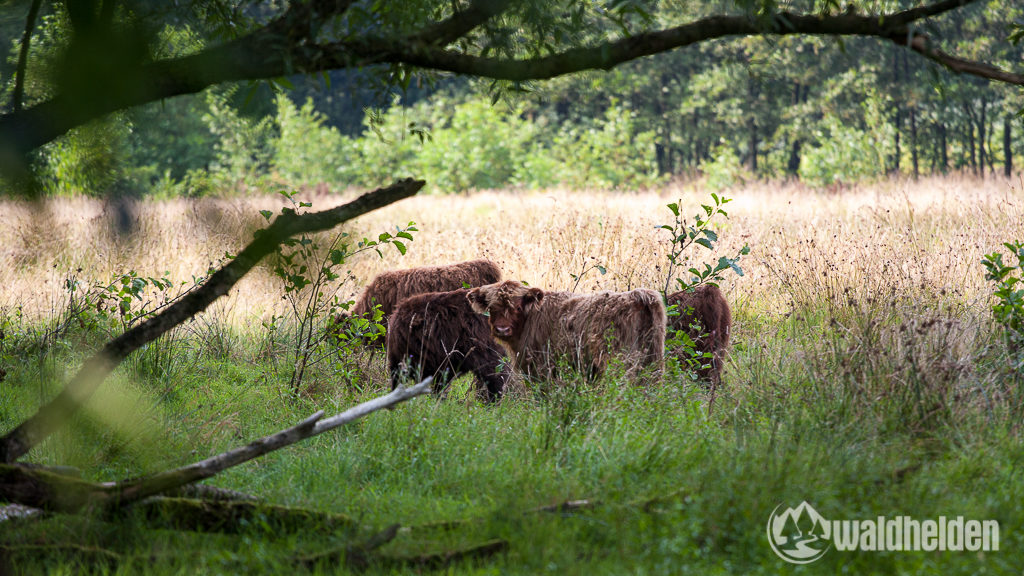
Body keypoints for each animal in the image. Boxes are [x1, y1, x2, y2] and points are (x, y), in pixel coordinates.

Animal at [468, 278, 667, 381]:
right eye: (492, 308)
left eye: (517, 307)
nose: (502, 329)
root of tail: (637, 295)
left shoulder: (540, 367)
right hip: (654, 356)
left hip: (619, 360)